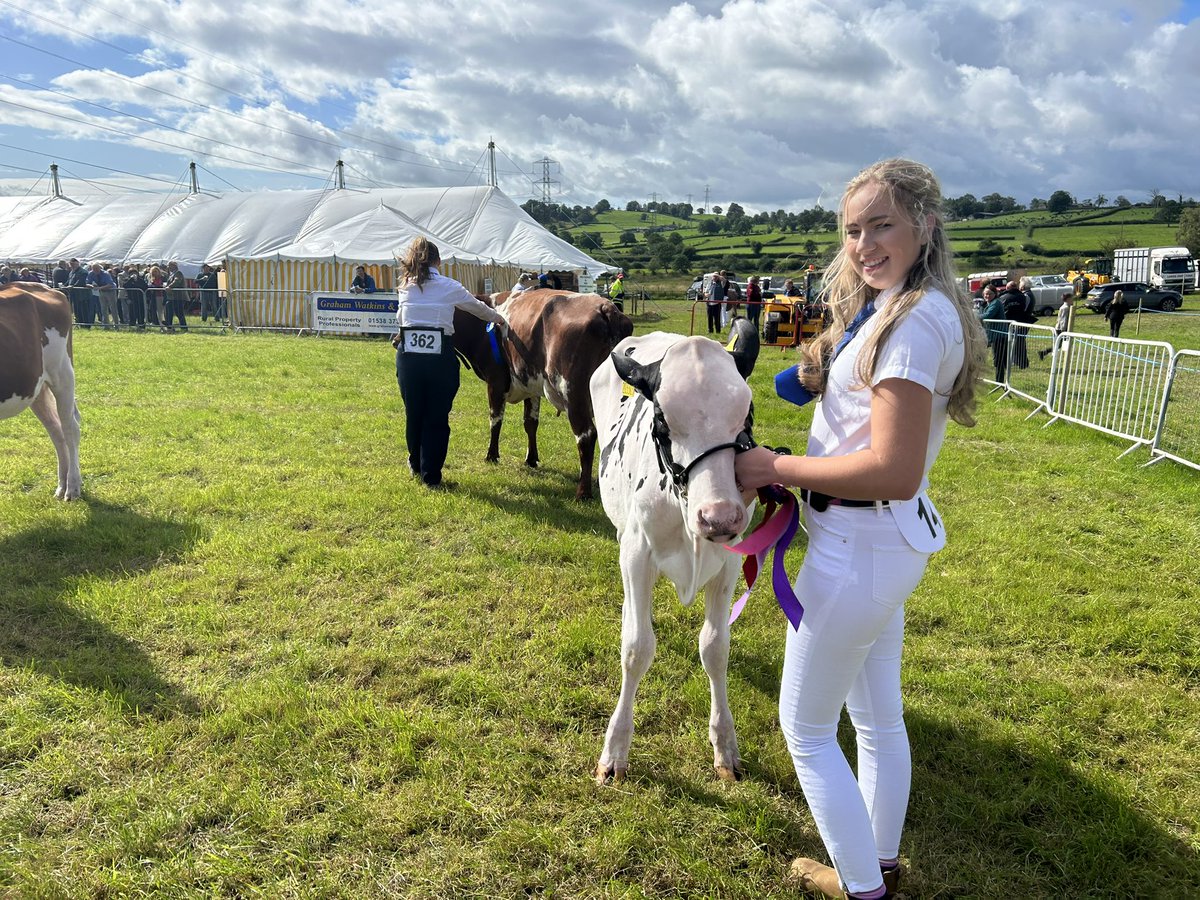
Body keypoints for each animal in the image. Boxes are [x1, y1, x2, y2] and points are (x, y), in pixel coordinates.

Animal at [0, 283, 81, 501]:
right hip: (36, 387)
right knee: (56, 430)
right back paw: (62, 485)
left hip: (62, 374)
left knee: (70, 429)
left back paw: (72, 487)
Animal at [451, 289, 638, 501]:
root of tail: (606, 307)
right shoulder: (531, 386)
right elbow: (530, 423)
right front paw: (531, 459)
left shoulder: (496, 380)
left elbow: (495, 420)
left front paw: (491, 456)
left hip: (573, 393)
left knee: (586, 435)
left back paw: (583, 492)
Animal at [590, 331, 758, 782]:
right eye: (662, 421)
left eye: (747, 417)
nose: (719, 517)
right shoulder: (636, 552)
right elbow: (636, 648)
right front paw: (615, 750)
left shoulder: (729, 563)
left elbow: (715, 648)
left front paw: (725, 746)